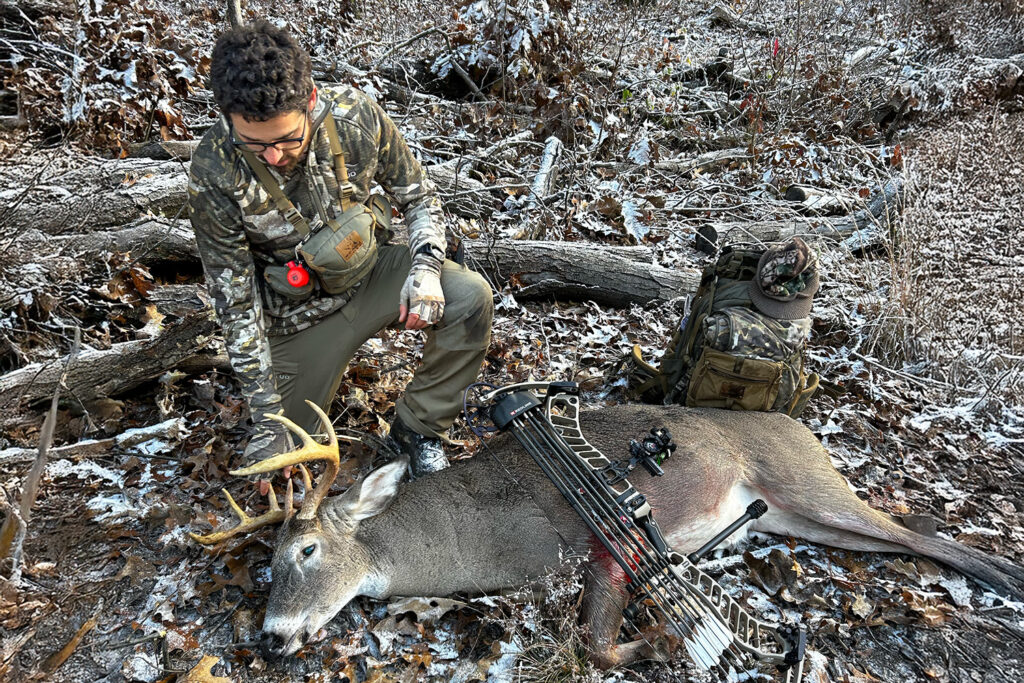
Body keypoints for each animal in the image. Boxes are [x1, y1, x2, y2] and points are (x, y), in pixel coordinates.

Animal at [192, 400, 1024, 669]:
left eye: (306, 550)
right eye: (264, 566)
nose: (271, 634)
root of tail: (802, 424)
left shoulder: (593, 548)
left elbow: (594, 643)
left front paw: (657, 642)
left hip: (805, 483)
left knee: (924, 536)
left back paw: (1004, 575)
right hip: (801, 514)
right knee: (906, 534)